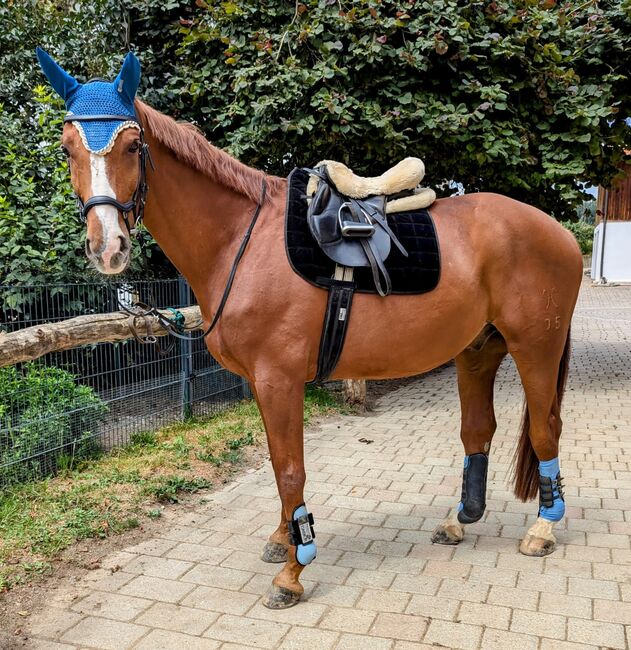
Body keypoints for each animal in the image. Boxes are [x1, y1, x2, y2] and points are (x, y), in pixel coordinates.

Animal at [37, 50, 584, 608]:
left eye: (131, 146)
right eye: (66, 148)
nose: (108, 247)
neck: (241, 240)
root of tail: (560, 234)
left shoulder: (279, 379)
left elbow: (289, 469)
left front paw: (294, 570)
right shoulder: (264, 383)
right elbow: (278, 463)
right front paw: (283, 540)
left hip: (534, 347)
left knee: (546, 428)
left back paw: (543, 527)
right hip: (477, 350)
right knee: (479, 430)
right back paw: (460, 520)